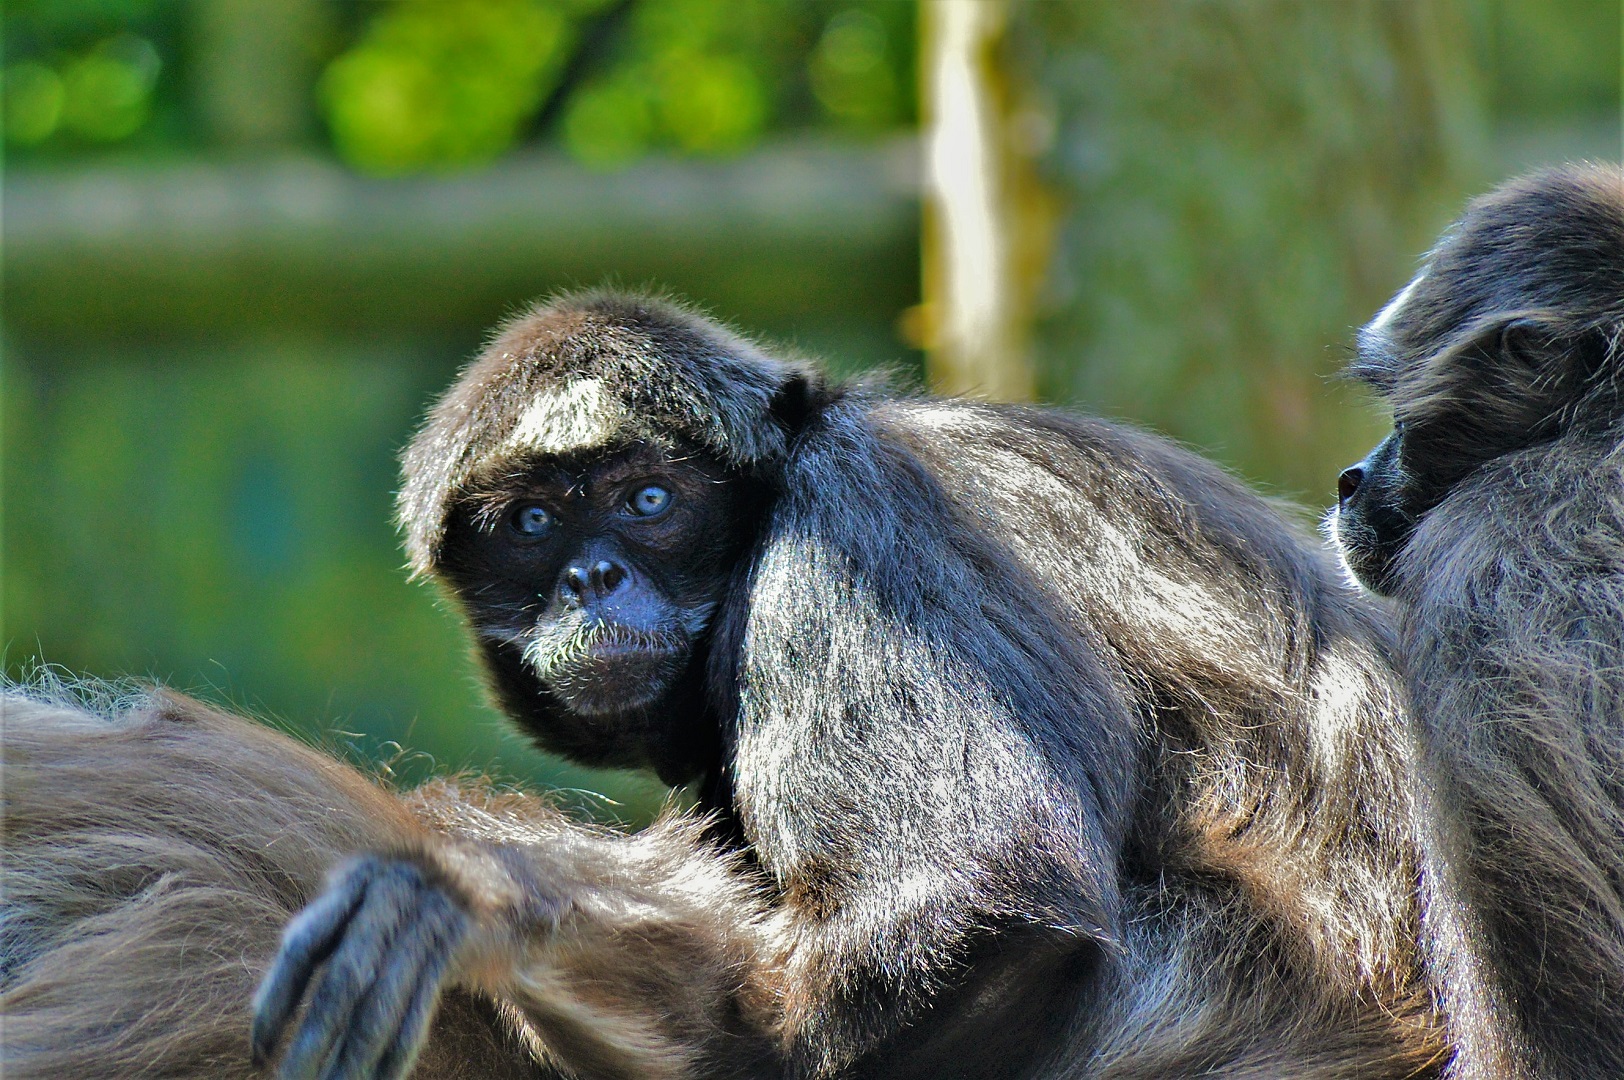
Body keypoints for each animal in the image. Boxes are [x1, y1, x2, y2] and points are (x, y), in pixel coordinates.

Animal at [242, 289, 1467, 1079]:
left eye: (648, 500)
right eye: (533, 525)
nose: (594, 578)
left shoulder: (851, 522)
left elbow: (984, 896)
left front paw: (491, 896)